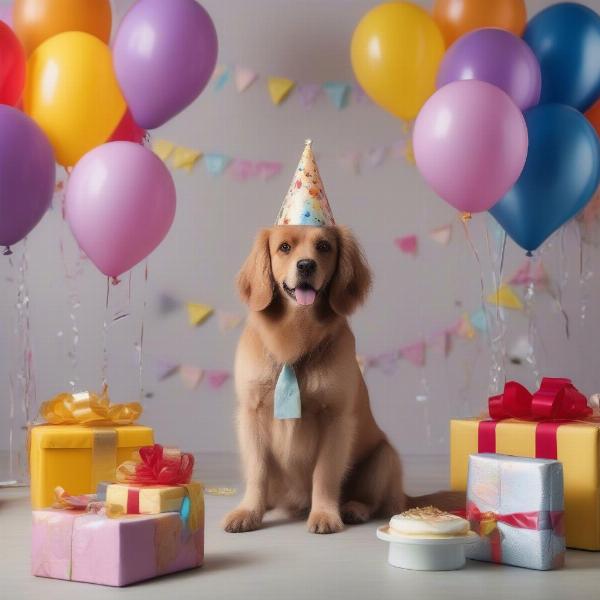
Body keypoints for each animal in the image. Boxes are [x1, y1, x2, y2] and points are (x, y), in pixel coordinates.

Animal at [223, 226, 462, 536]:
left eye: (324, 246)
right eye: (284, 247)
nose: (306, 265)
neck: (296, 337)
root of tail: (405, 496)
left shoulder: (336, 418)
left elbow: (324, 474)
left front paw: (324, 514)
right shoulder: (251, 413)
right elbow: (257, 471)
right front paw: (249, 511)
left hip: (384, 457)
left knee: (376, 501)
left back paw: (353, 508)